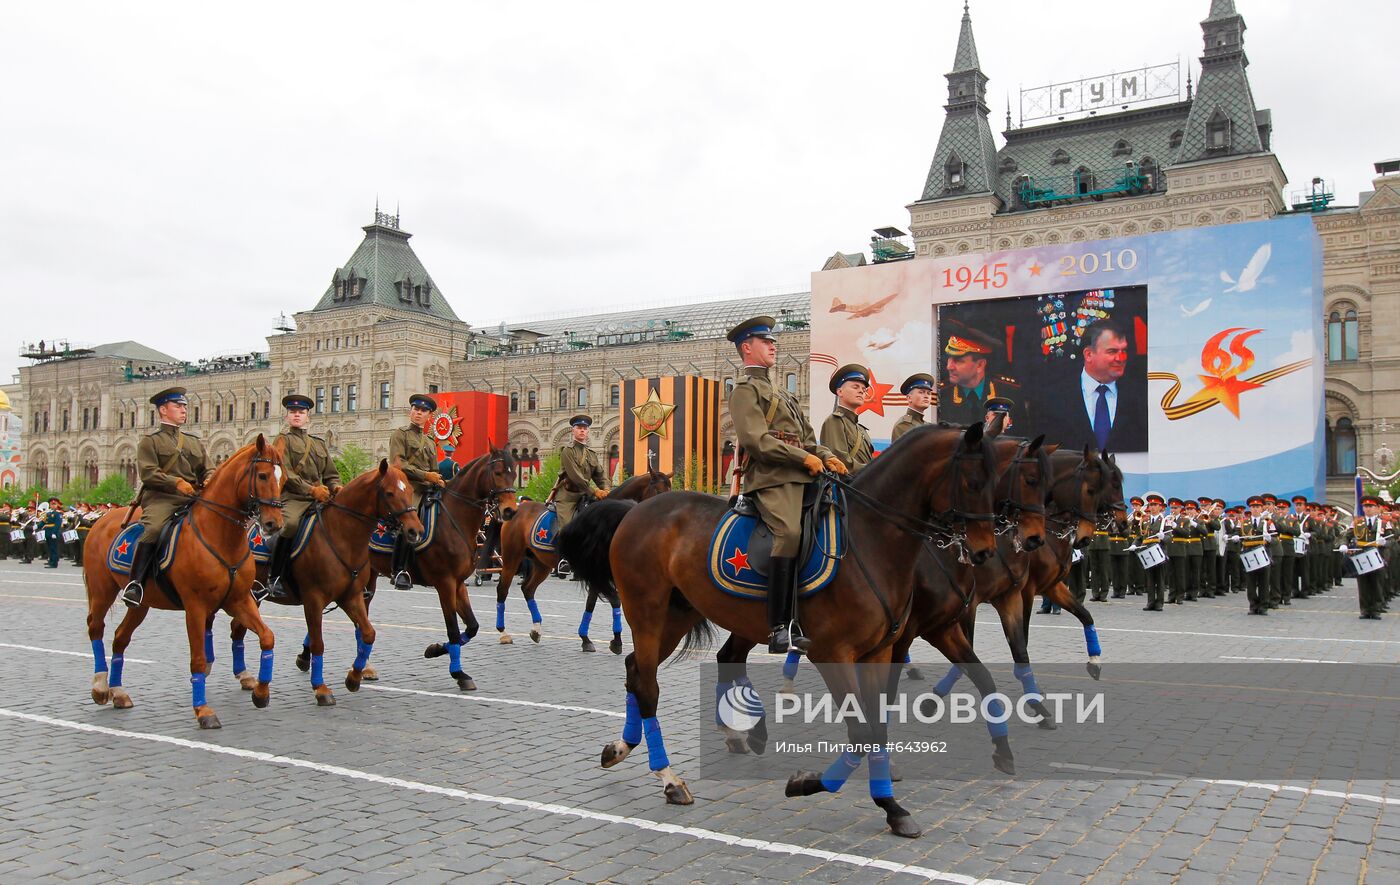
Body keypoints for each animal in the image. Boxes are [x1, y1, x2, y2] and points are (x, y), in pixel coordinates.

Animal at [83, 431, 285, 728]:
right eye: (262, 475)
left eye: (282, 478)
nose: (274, 525)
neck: (220, 536)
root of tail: (102, 519)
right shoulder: (195, 607)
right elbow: (198, 659)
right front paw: (203, 711)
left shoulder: (239, 600)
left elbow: (267, 637)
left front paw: (261, 692)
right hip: (101, 591)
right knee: (96, 628)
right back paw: (99, 687)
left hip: (142, 603)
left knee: (120, 637)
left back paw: (118, 692)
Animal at [226, 462, 417, 705]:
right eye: (390, 493)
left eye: (410, 490)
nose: (415, 530)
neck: (342, 536)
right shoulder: (314, 600)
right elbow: (318, 642)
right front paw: (321, 688)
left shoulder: (351, 596)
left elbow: (368, 633)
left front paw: (354, 677)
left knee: (237, 629)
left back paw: (245, 676)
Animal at [366, 442, 520, 691]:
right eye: (497, 473)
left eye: (514, 473)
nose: (510, 511)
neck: (454, 520)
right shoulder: (444, 584)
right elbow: (454, 630)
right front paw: (459, 673)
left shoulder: (459, 583)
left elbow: (472, 627)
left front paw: (436, 649)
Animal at [492, 467, 666, 646]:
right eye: (659, 491)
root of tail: (517, 508)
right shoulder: (598, 573)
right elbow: (614, 600)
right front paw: (615, 640)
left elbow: (592, 603)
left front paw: (587, 638)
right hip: (511, 557)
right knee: (502, 589)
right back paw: (503, 632)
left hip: (541, 564)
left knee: (528, 589)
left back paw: (536, 629)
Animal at [551, 422, 1002, 834]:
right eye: (973, 482)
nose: (985, 551)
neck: (871, 540)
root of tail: (635, 510)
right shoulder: (833, 653)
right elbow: (861, 730)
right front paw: (811, 784)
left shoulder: (880, 652)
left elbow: (877, 727)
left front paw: (892, 806)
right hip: (647, 611)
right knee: (647, 684)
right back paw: (670, 778)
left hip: (676, 617)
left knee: (637, 671)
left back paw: (622, 748)